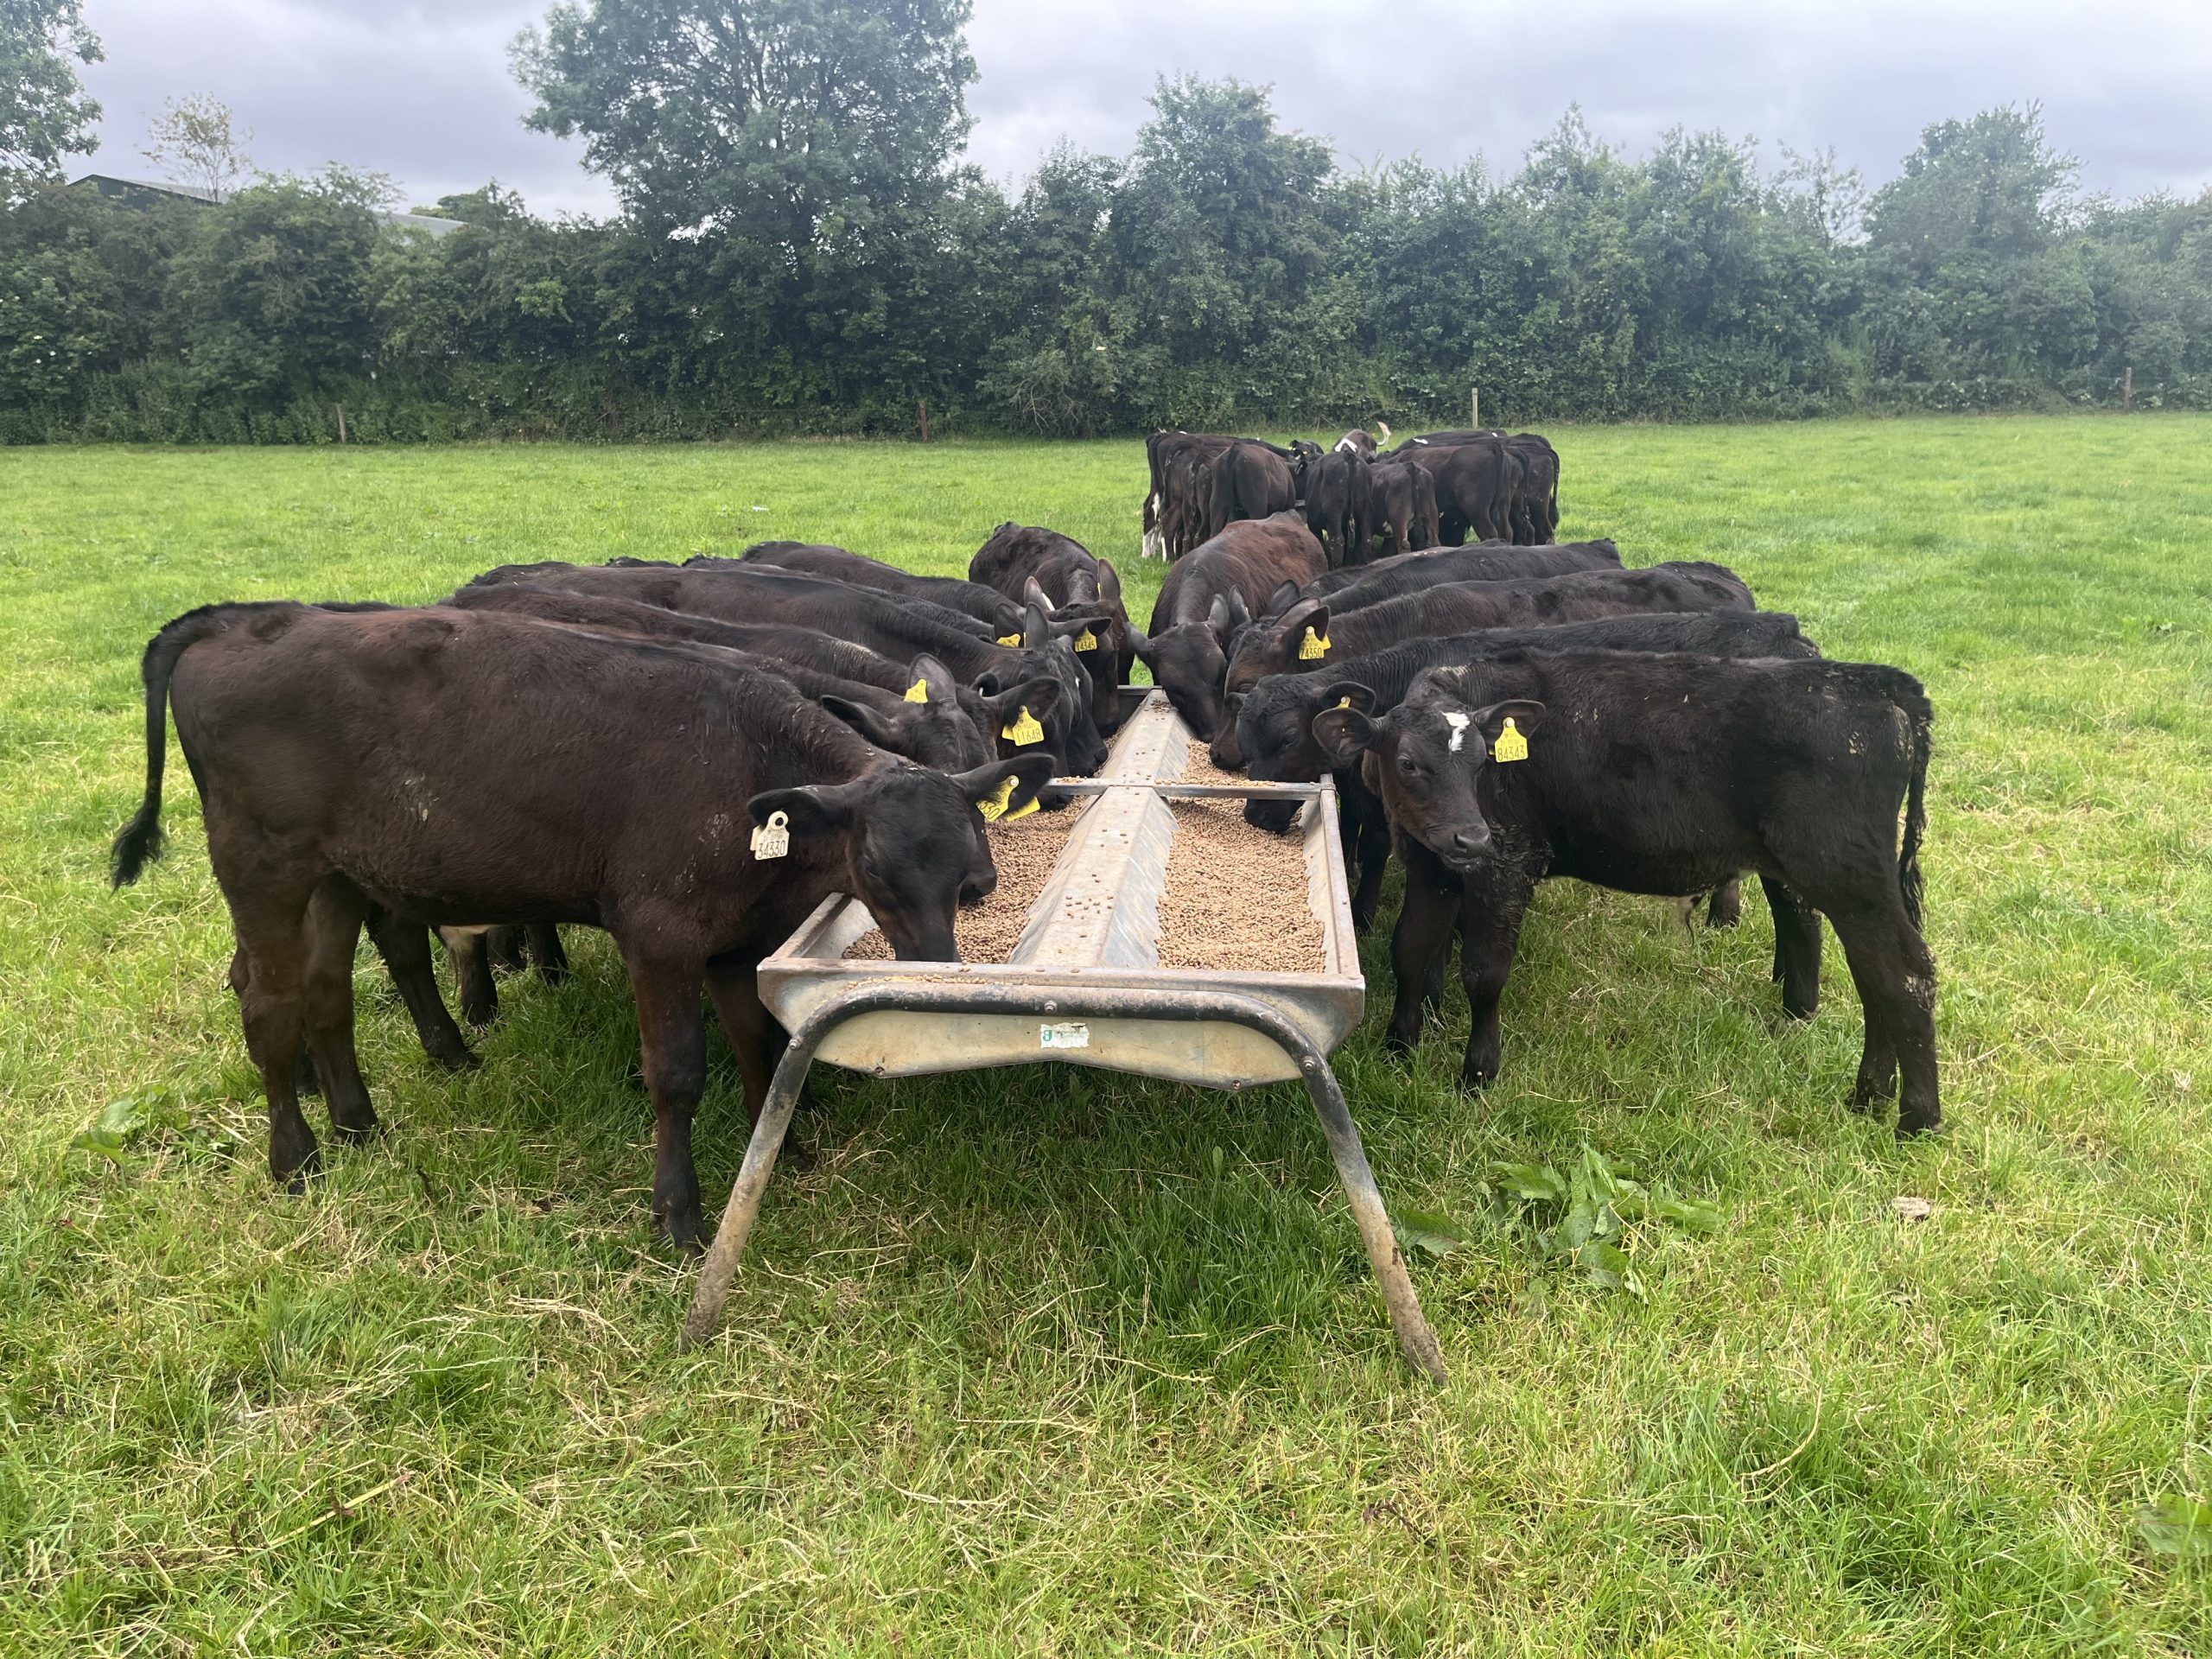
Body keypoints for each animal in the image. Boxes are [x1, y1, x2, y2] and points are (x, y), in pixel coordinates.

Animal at [109, 602, 1057, 1244]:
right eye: (878, 874)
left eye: (971, 881)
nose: (934, 969)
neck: (747, 770)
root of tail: (239, 622)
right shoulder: (659, 933)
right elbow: (677, 1073)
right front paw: (679, 1214)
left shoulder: (738, 941)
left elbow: (756, 1043)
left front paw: (779, 1150)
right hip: (259, 866)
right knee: (267, 1007)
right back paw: (296, 1156)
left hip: (338, 876)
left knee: (324, 993)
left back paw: (356, 1121)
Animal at [1311, 650, 1937, 1132]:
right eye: (1409, 763)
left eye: (1484, 761)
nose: (1471, 835)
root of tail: (1871, 682)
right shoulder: (1431, 868)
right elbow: (1410, 952)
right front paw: (1399, 1046)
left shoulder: (1506, 864)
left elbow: (1484, 975)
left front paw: (1478, 1074)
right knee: (1873, 974)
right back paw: (1872, 1095)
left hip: (1851, 877)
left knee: (1904, 975)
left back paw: (1915, 1118)